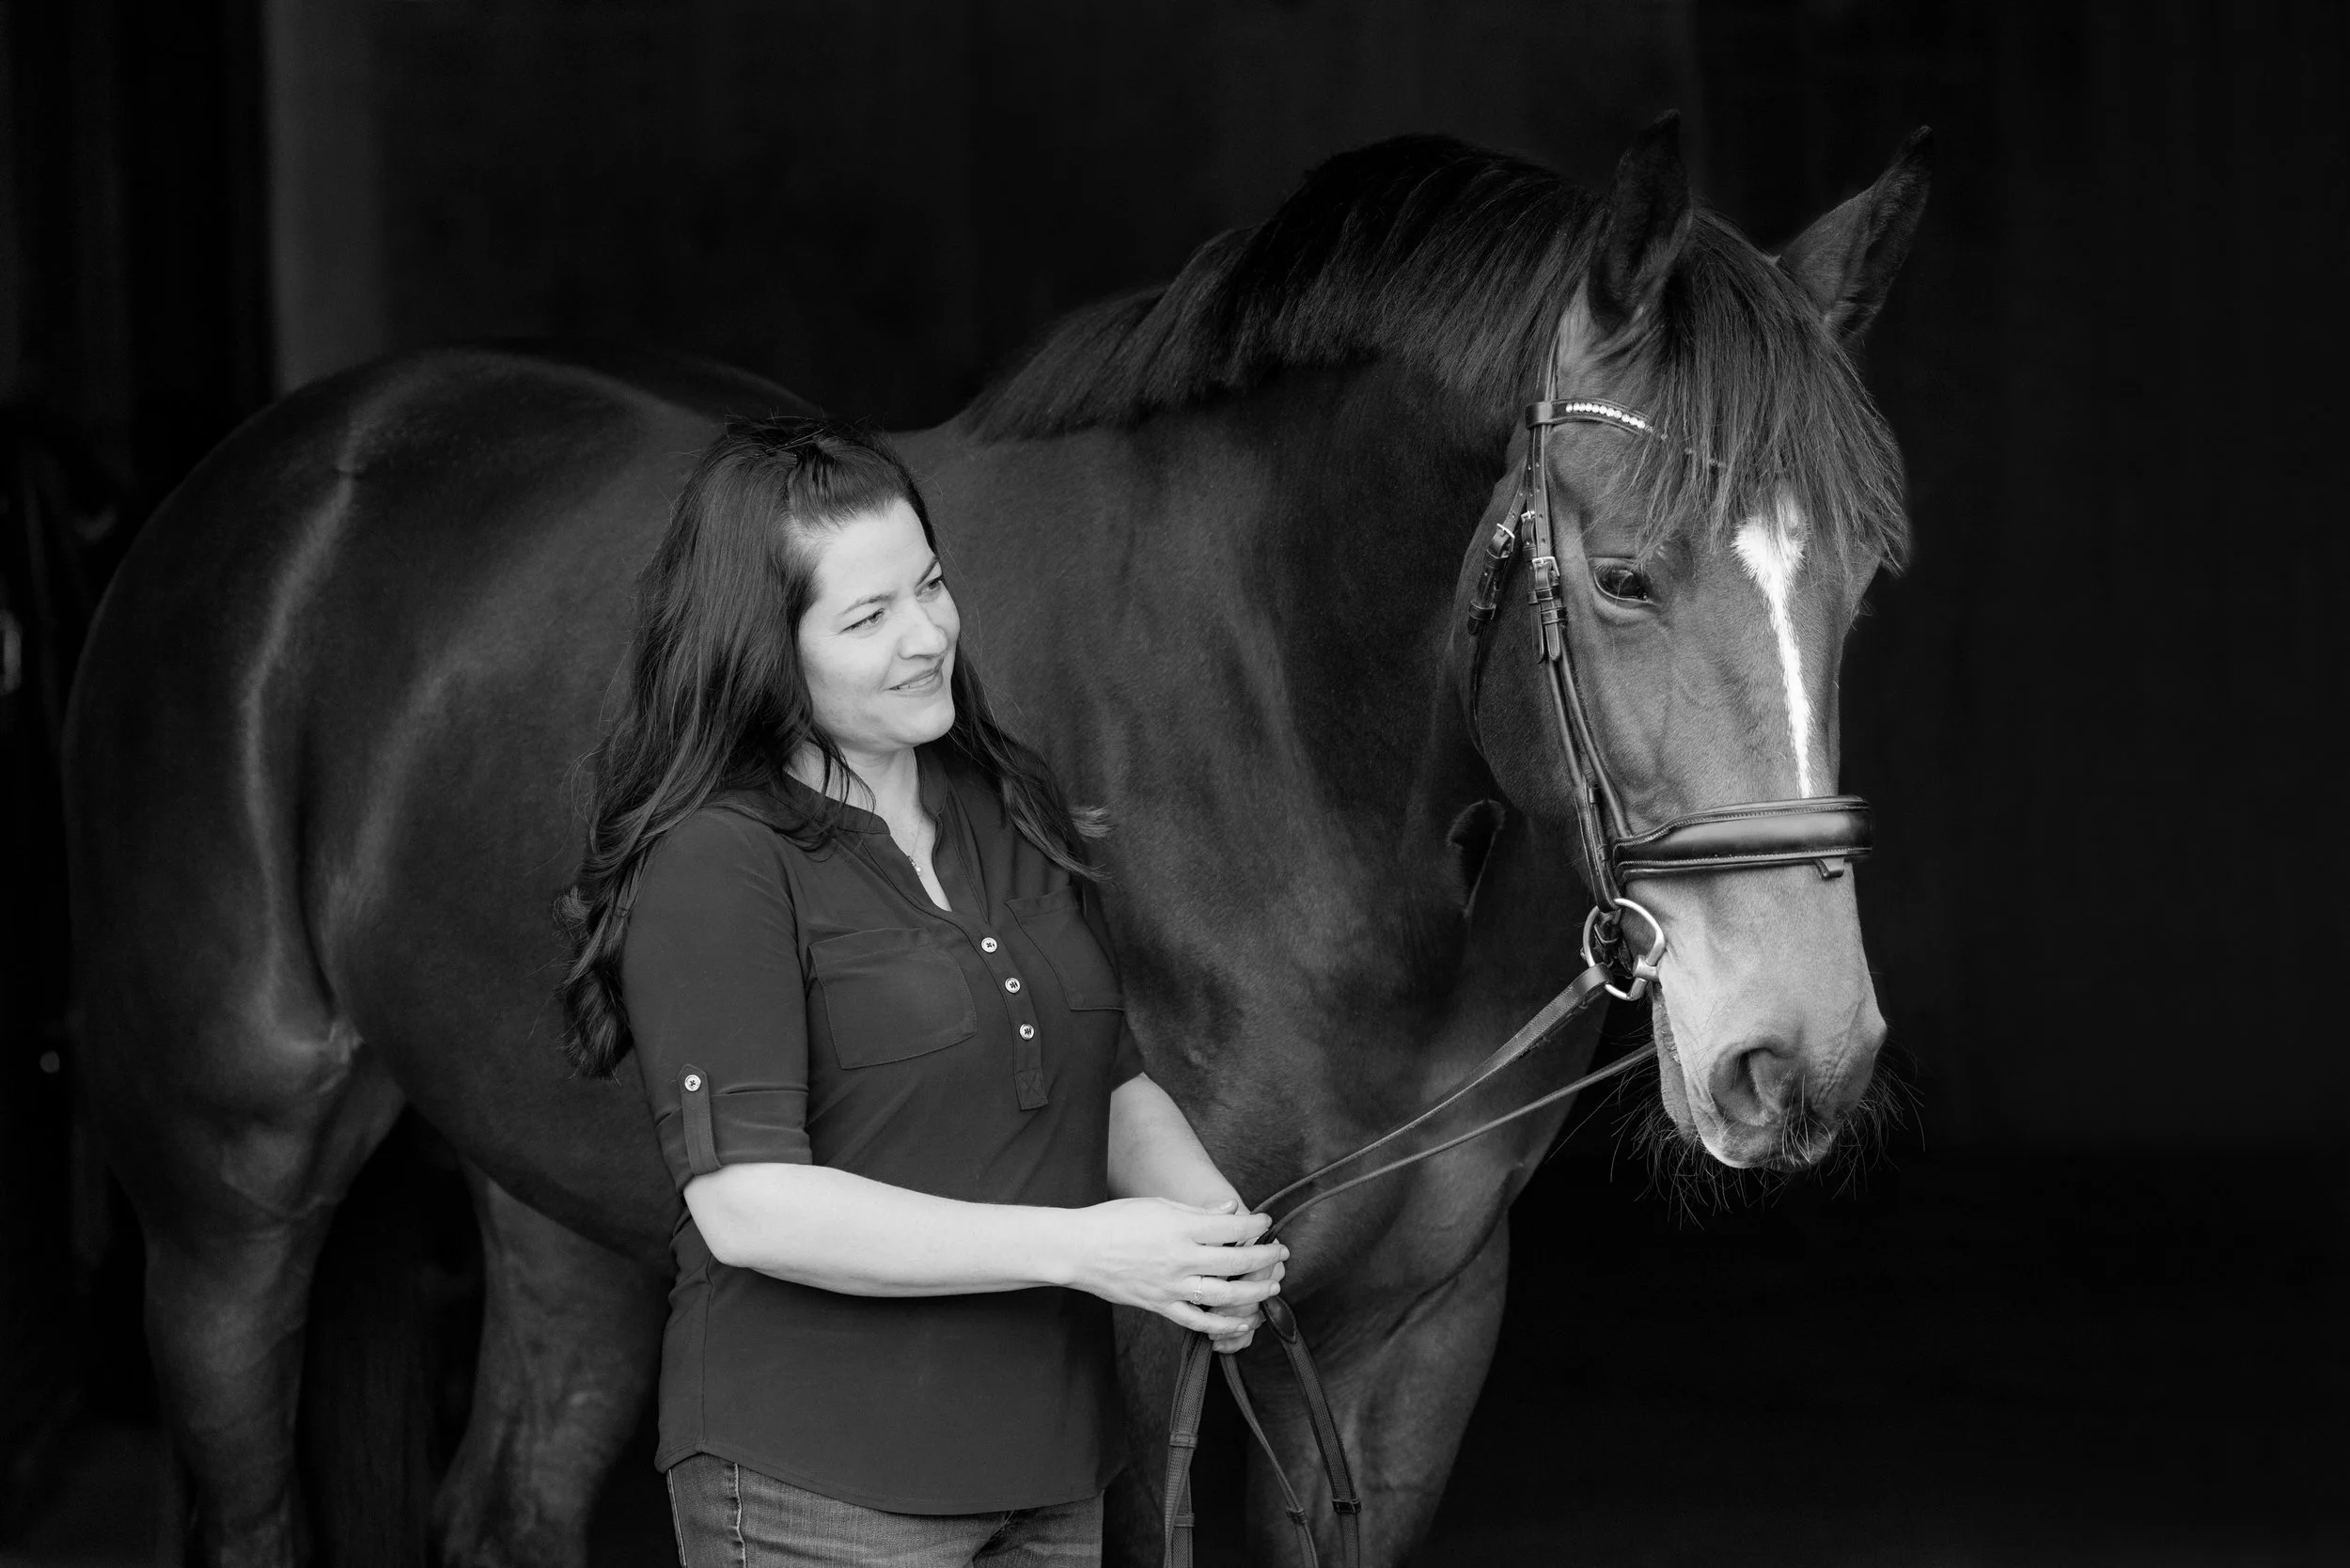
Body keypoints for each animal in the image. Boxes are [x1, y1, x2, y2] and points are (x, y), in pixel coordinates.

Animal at [64, 115, 1927, 1568]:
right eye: (1622, 577)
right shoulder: (1153, 1339)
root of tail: (275, 478)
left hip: (568, 1195)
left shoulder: (1410, 1336)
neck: (1281, 729)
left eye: (1862, 580)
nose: (1800, 1061)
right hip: (227, 1203)